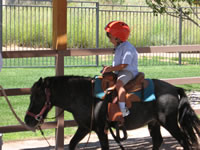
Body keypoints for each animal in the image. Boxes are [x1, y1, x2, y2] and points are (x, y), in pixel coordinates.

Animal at [24, 75, 200, 149]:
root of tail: (174, 88)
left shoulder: (101, 130)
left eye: (38, 97)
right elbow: (73, 143)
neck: (87, 96)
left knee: (184, 141)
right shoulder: (84, 128)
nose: (28, 120)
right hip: (154, 123)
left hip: (170, 123)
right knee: (158, 141)